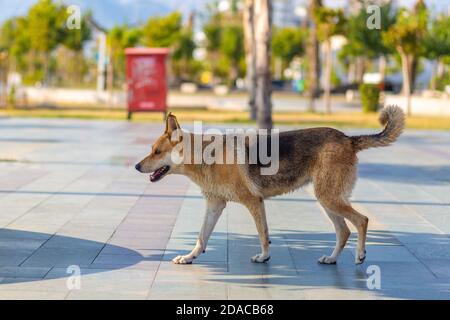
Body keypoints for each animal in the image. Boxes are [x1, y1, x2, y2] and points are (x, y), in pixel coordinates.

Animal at [135, 105, 406, 264]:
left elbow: (263, 233)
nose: (136, 166)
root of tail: (348, 139)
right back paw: (331, 258)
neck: (205, 157)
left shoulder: (254, 202)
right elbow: (202, 237)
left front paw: (264, 257)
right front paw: (190, 257)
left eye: (157, 152)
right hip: (327, 201)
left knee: (362, 220)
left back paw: (360, 255)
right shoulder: (214, 206)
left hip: (330, 199)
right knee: (344, 231)